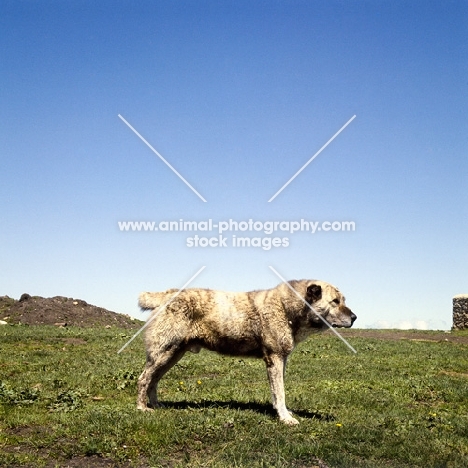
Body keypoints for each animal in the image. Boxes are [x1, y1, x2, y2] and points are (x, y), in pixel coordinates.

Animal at [137, 280, 356, 426]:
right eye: (335, 301)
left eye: (343, 300)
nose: (354, 317)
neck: (287, 308)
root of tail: (166, 294)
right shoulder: (275, 358)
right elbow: (280, 391)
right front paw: (285, 418)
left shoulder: (281, 360)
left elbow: (278, 391)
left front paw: (283, 412)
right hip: (164, 352)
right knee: (144, 379)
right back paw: (142, 408)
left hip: (173, 354)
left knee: (154, 380)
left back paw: (156, 406)